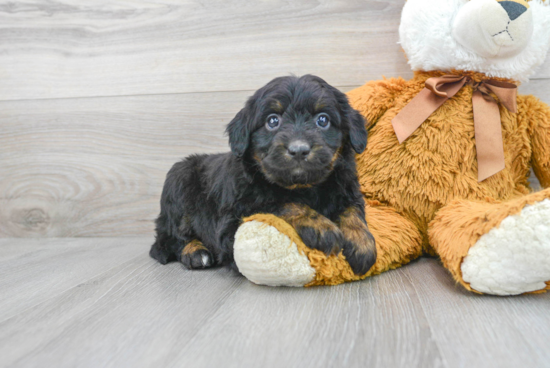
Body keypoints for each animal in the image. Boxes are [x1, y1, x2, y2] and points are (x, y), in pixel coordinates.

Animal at [149, 75, 378, 274]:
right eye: (272, 121)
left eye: (323, 120)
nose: (299, 150)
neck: (302, 186)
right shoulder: (233, 220)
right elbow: (280, 203)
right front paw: (322, 228)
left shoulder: (347, 188)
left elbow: (352, 211)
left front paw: (362, 244)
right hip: (178, 180)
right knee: (170, 238)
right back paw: (195, 252)